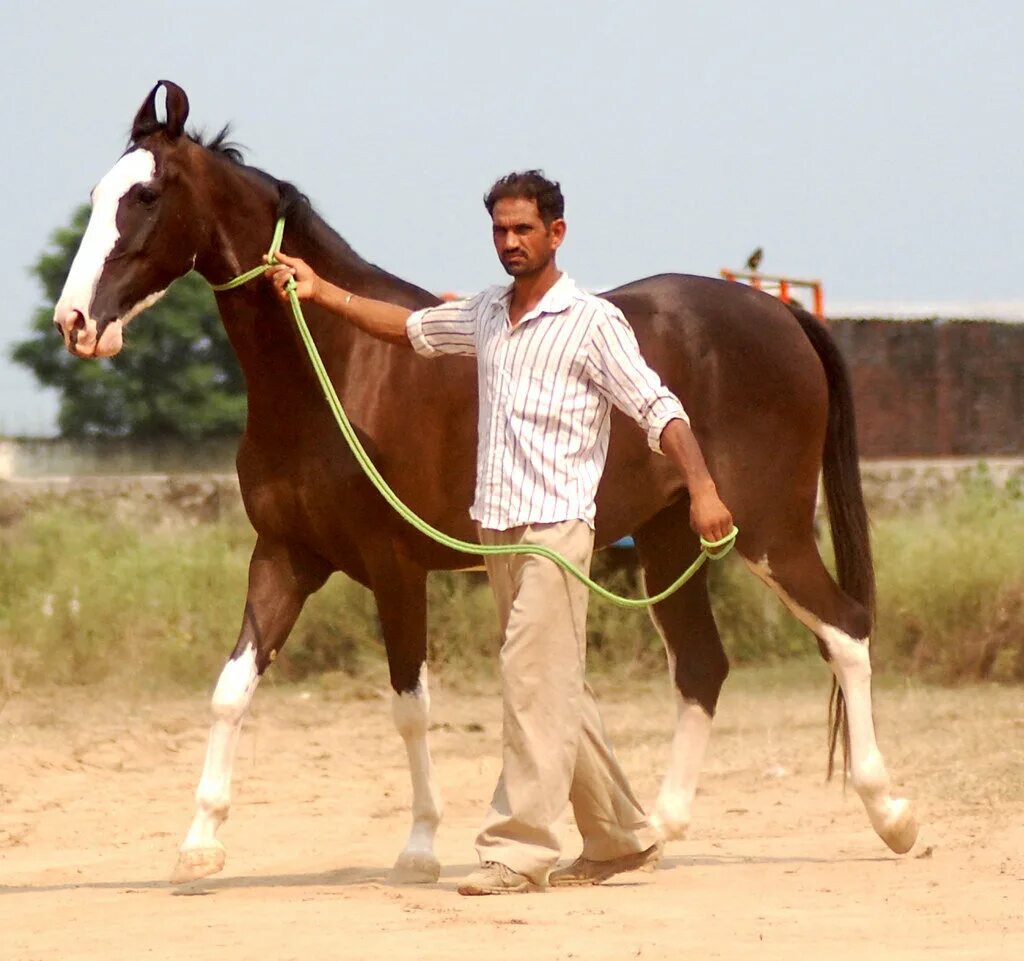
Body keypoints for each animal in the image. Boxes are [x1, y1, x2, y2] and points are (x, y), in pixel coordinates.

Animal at [51, 82, 917, 885]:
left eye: (145, 196)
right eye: (95, 194)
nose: (74, 323)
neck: (336, 367)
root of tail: (781, 317)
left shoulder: (395, 567)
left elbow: (410, 706)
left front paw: (418, 848)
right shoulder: (285, 556)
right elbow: (232, 687)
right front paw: (200, 844)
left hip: (767, 531)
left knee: (846, 629)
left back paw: (892, 815)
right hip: (672, 538)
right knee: (704, 666)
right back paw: (654, 833)